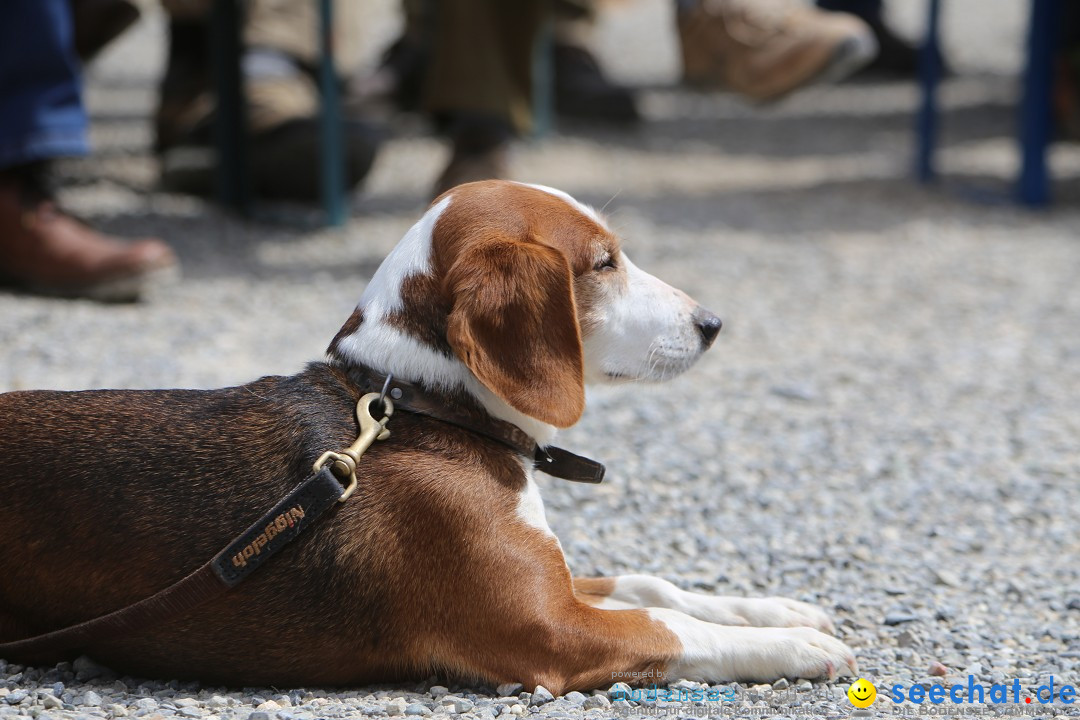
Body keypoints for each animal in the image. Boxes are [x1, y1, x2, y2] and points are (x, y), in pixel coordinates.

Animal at [2, 180, 859, 690]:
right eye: (604, 264)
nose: (713, 324)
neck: (427, 406)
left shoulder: (550, 582)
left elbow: (657, 587)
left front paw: (776, 609)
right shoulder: (550, 628)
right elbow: (671, 625)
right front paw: (797, 648)